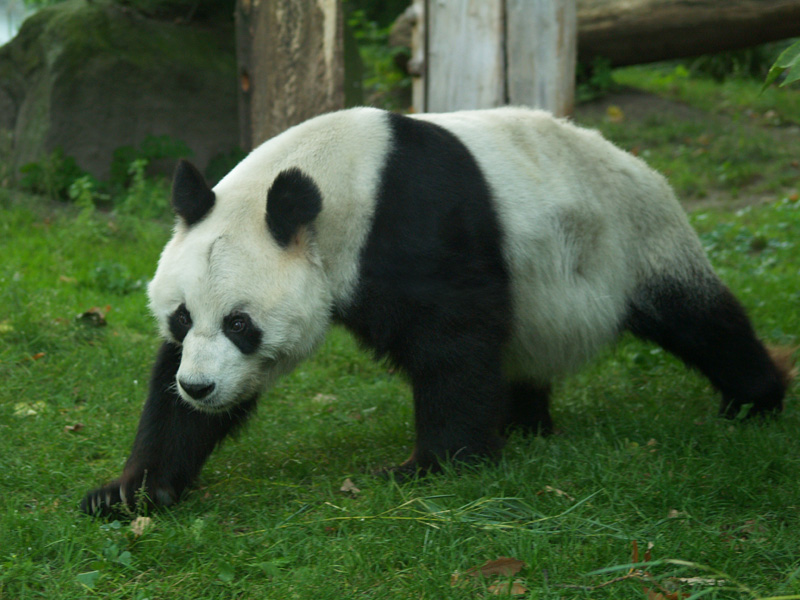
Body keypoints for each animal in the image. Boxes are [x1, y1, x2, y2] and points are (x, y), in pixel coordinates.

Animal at [81, 106, 792, 516]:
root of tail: (639, 163)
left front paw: (430, 466)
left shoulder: (414, 224)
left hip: (635, 236)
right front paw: (131, 491)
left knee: (700, 319)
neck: (334, 183)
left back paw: (754, 398)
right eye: (180, 318)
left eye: (240, 324)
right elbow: (168, 399)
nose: (201, 387)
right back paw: (525, 422)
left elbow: (454, 338)